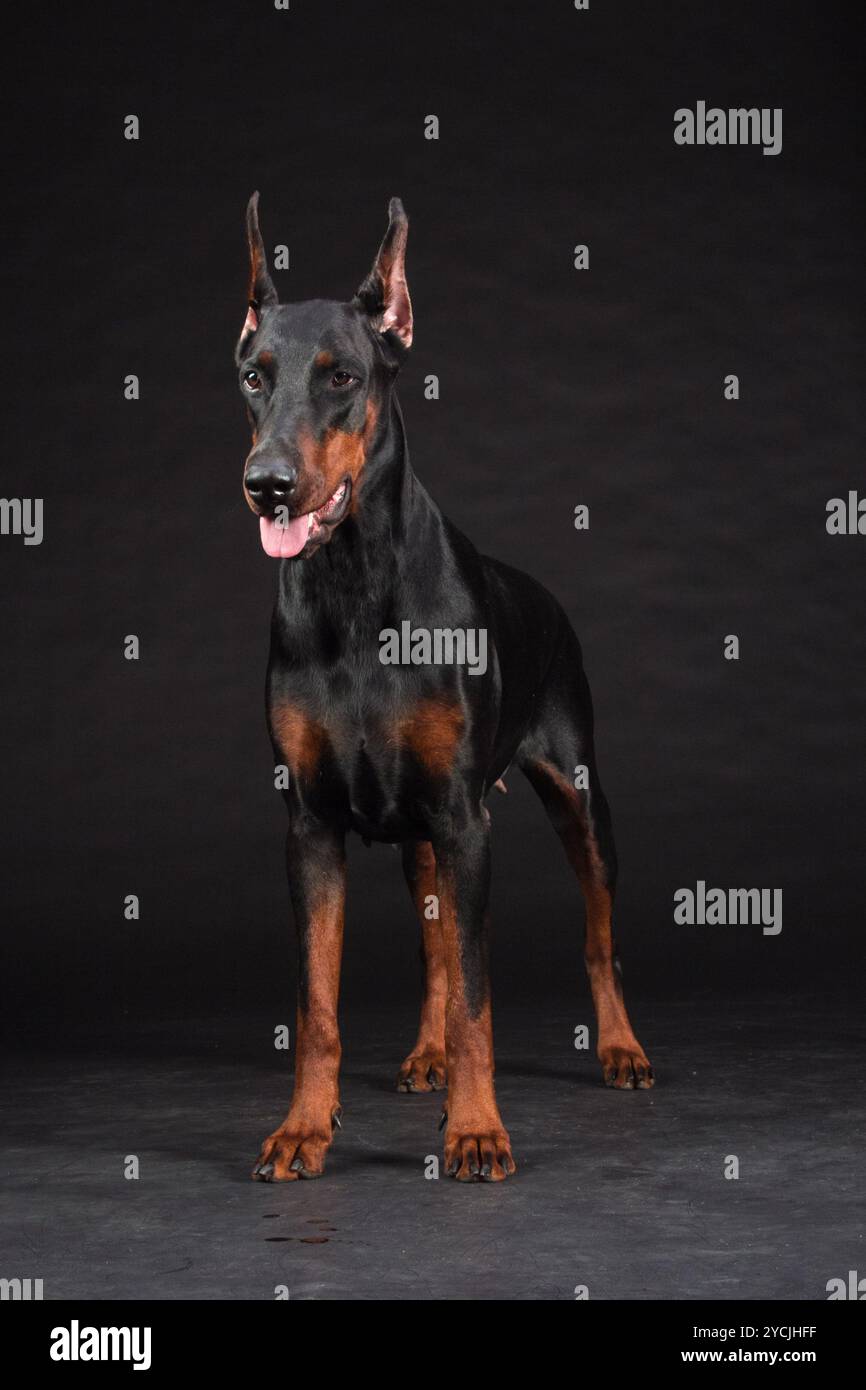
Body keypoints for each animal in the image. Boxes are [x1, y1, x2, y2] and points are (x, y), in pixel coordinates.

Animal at [234, 193, 650, 1184]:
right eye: (254, 378)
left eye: (342, 377)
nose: (267, 486)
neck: (353, 586)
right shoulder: (310, 824)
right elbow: (318, 1004)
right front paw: (303, 1128)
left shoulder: (467, 820)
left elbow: (478, 998)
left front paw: (477, 1131)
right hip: (422, 832)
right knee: (434, 951)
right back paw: (423, 1055)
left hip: (575, 797)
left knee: (598, 937)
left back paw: (620, 1049)